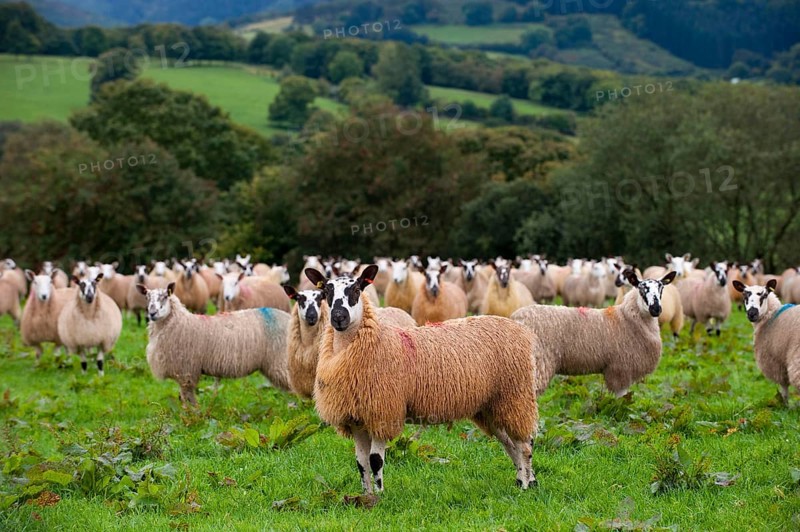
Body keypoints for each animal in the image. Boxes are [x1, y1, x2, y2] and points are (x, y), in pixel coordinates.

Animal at [137, 282, 291, 405]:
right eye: (147, 297)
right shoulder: (185, 371)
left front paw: (193, 417)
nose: (152, 313)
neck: (179, 322)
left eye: (165, 296)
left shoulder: (186, 370)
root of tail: (290, 318)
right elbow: (185, 396)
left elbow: (188, 397)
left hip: (280, 360)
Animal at [307, 266, 539, 493]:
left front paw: (379, 497)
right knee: (510, 443)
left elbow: (375, 461)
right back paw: (526, 481)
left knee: (525, 443)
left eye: (356, 289)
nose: (339, 317)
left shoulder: (383, 412)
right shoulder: (356, 419)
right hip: (490, 406)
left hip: (515, 396)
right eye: (326, 291)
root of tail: (520, 331)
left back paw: (525, 484)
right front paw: (366, 496)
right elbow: (361, 463)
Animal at [512, 270, 677, 397]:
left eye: (661, 288)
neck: (626, 318)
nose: (656, 309)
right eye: (642, 289)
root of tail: (516, 317)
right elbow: (621, 397)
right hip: (537, 364)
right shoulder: (620, 368)